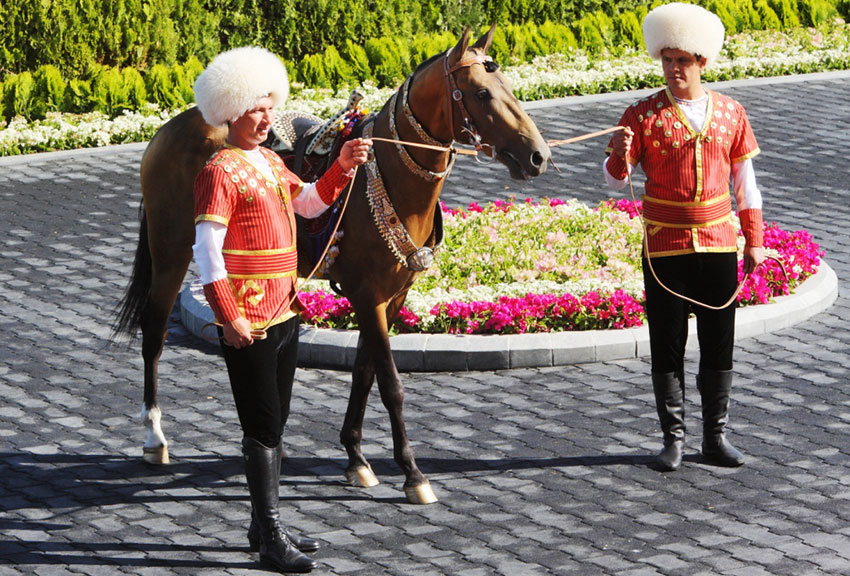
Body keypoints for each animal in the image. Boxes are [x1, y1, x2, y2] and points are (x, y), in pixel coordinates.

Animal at [112, 27, 548, 504]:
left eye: (509, 87)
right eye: (481, 93)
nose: (537, 156)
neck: (387, 176)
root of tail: (169, 129)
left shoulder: (392, 298)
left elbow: (364, 373)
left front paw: (356, 459)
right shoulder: (367, 296)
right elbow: (391, 385)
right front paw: (413, 474)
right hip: (171, 252)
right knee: (155, 333)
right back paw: (154, 437)